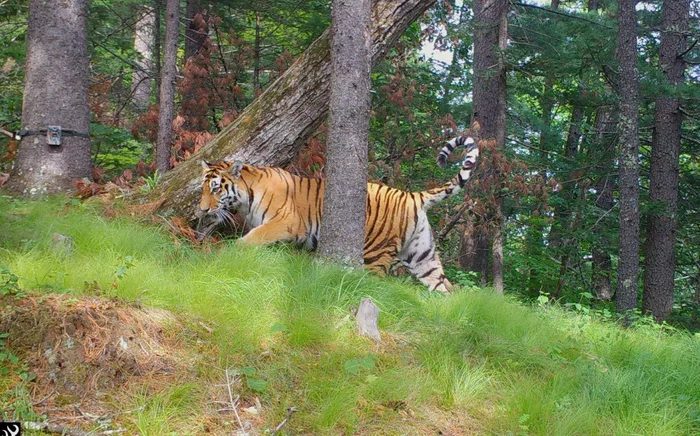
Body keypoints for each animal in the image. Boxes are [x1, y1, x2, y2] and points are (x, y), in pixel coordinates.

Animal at [200, 135, 478, 292]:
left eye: (215, 188)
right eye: (202, 187)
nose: (202, 209)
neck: (246, 197)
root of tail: (411, 196)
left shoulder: (285, 222)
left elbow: (255, 237)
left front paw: (231, 251)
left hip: (375, 253)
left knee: (374, 282)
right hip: (422, 256)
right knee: (446, 287)